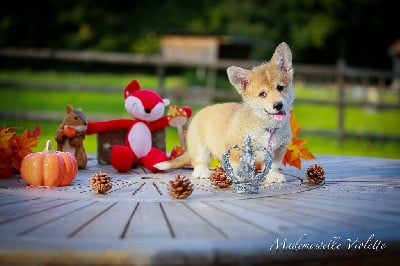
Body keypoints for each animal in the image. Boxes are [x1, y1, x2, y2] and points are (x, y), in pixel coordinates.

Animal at [155, 42, 294, 183]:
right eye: (262, 94)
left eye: (280, 87)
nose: (278, 105)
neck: (268, 126)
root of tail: (200, 112)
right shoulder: (235, 149)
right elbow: (236, 166)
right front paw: (239, 177)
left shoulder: (279, 149)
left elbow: (273, 164)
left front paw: (273, 175)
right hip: (200, 147)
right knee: (198, 161)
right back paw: (202, 171)